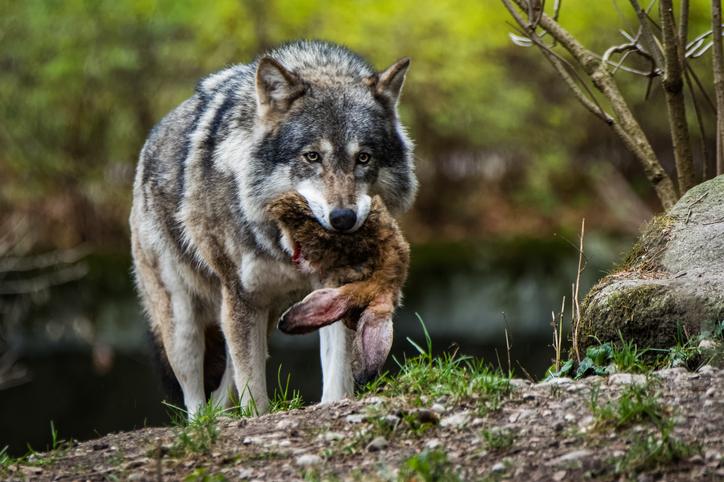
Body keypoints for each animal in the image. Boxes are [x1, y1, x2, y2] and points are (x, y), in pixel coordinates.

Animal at [127, 40, 416, 418]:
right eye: (312, 157)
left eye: (363, 158)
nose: (343, 219)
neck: (284, 246)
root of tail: (149, 144)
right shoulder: (241, 298)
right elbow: (253, 395)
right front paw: (257, 417)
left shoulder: (332, 290)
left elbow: (336, 372)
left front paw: (333, 404)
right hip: (184, 324)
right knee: (195, 400)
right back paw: (202, 423)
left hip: (262, 317)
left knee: (224, 388)